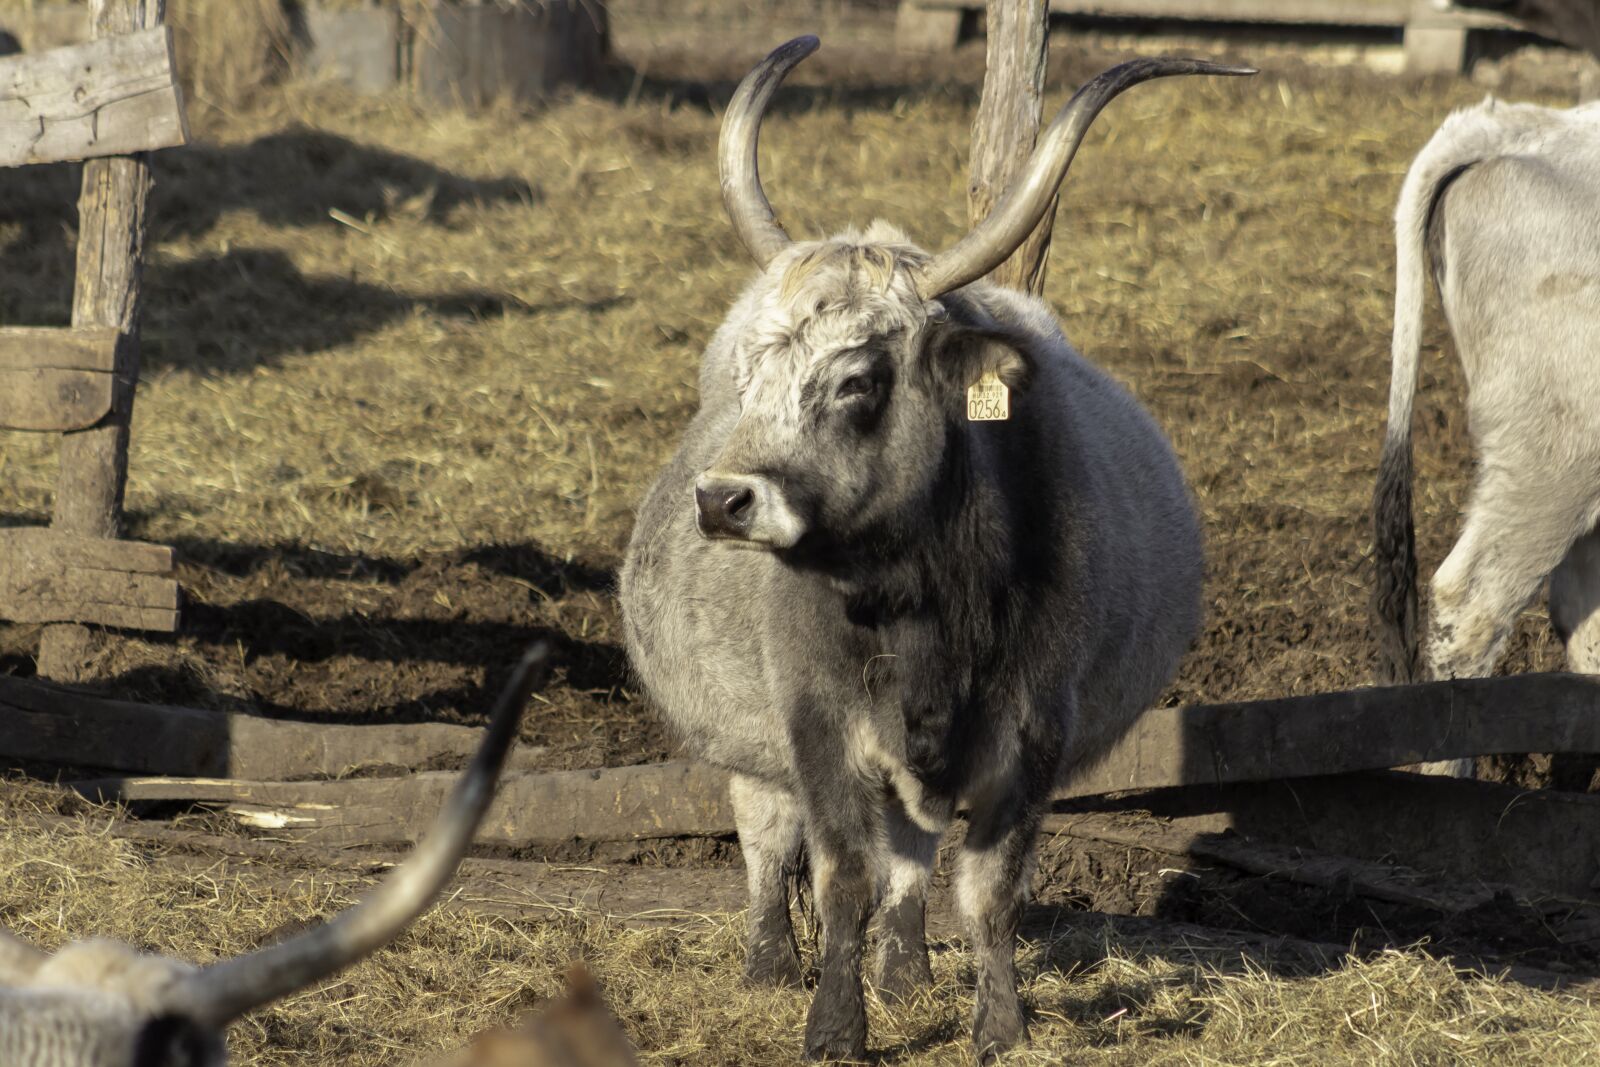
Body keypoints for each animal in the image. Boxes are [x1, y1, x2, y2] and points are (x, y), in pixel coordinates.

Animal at [618, 36, 1251, 1061]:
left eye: (856, 379)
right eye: (752, 375)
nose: (721, 499)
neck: (923, 604)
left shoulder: (1032, 731)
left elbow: (986, 887)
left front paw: (998, 1024)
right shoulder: (818, 724)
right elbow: (839, 871)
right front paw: (833, 1025)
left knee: (912, 855)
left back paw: (906, 972)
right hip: (745, 738)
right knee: (766, 830)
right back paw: (769, 963)